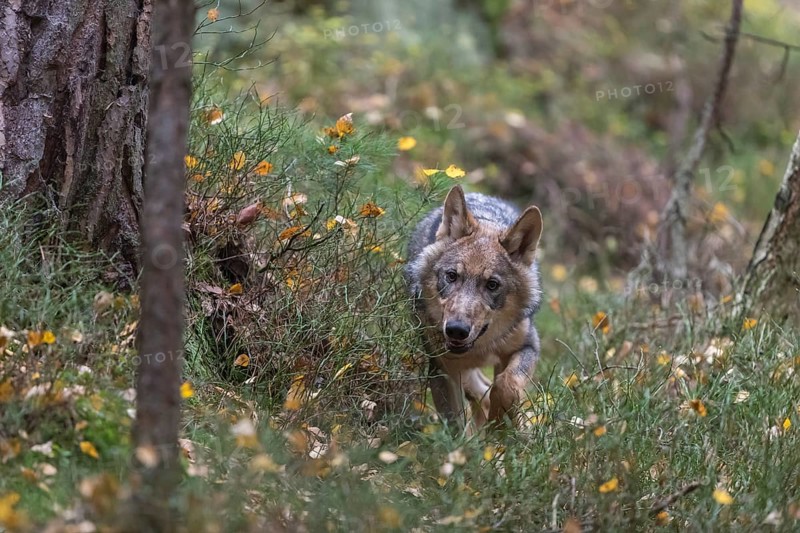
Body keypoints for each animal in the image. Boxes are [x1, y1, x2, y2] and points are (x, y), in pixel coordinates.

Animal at [406, 185, 543, 431]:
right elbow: (456, 425)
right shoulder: (441, 371)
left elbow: (506, 386)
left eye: (492, 284)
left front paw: (500, 429)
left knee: (489, 389)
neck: (481, 346)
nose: (456, 330)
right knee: (481, 393)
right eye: (452, 276)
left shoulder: (529, 346)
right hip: (462, 374)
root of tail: (480, 195)